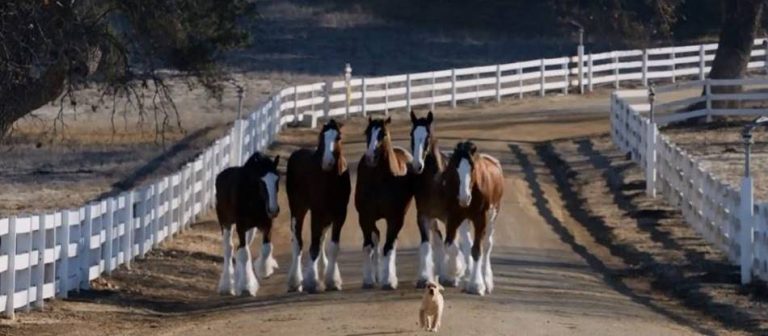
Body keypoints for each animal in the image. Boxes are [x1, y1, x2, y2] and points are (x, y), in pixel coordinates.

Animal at [214, 152, 280, 296]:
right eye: (262, 181)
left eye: (277, 180)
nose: (273, 210)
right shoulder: (241, 226)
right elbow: (243, 253)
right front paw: (246, 287)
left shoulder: (267, 224)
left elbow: (266, 248)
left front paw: (264, 271)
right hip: (226, 223)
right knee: (229, 248)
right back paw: (227, 286)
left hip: (251, 229)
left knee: (243, 247)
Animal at [284, 119, 352, 292]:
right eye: (321, 137)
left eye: (338, 137)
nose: (327, 162)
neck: (330, 180)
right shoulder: (317, 212)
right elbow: (313, 245)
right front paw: (311, 281)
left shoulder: (340, 214)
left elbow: (332, 246)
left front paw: (332, 281)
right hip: (298, 209)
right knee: (298, 242)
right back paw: (294, 281)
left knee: (321, 239)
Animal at [438, 140, 504, 296]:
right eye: (455, 167)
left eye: (473, 167)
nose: (464, 198)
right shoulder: (454, 217)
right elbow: (450, 245)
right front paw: (453, 272)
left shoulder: (481, 219)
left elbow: (477, 250)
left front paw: (477, 285)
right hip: (465, 220)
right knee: (468, 243)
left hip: (492, 215)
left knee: (487, 245)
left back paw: (487, 281)